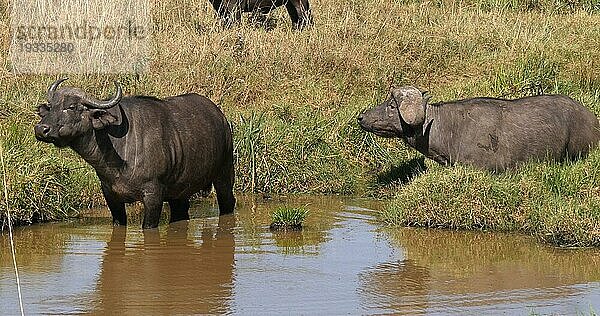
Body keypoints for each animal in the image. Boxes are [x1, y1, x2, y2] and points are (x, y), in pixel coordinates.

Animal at [34, 78, 237, 227]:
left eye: (72, 107)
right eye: (51, 106)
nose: (41, 129)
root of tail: (221, 118)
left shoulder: (153, 196)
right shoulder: (111, 196)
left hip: (224, 176)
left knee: (228, 202)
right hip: (179, 193)